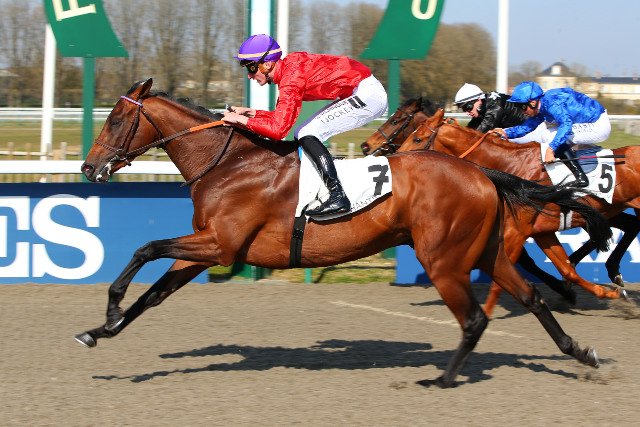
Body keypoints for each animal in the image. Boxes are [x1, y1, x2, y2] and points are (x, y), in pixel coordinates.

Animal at [74, 79, 604, 388]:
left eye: (116, 119)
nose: (88, 168)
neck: (230, 163)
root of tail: (481, 173)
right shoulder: (205, 248)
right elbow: (156, 292)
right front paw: (101, 330)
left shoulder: (221, 244)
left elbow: (145, 248)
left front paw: (111, 307)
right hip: (485, 251)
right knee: (529, 298)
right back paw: (579, 351)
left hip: (444, 259)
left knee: (474, 318)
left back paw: (441, 379)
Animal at [361, 99, 636, 316]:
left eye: (398, 121)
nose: (366, 146)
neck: (509, 163)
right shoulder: (537, 230)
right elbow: (560, 267)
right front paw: (569, 290)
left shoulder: (517, 230)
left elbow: (519, 267)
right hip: (613, 210)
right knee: (627, 227)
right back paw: (608, 269)